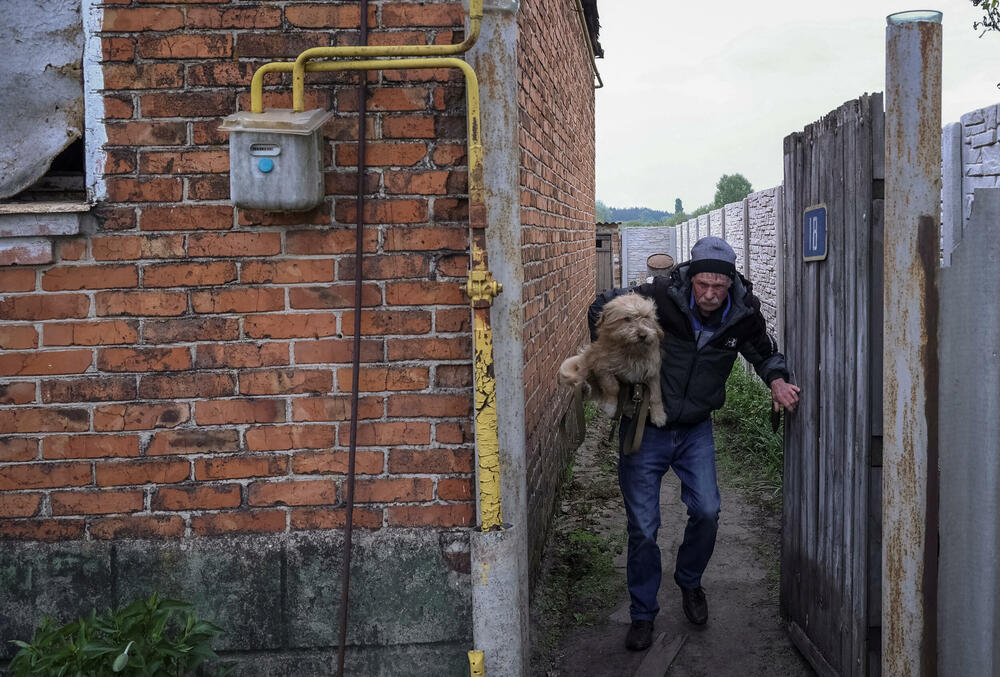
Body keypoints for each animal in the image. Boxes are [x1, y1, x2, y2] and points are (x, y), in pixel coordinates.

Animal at [560, 294, 668, 426]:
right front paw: (611, 406)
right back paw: (585, 388)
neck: (631, 352)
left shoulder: (652, 372)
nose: (643, 335)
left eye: (646, 317)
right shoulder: (602, 367)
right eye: (627, 318)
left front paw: (658, 415)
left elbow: (656, 395)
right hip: (586, 364)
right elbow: (612, 387)